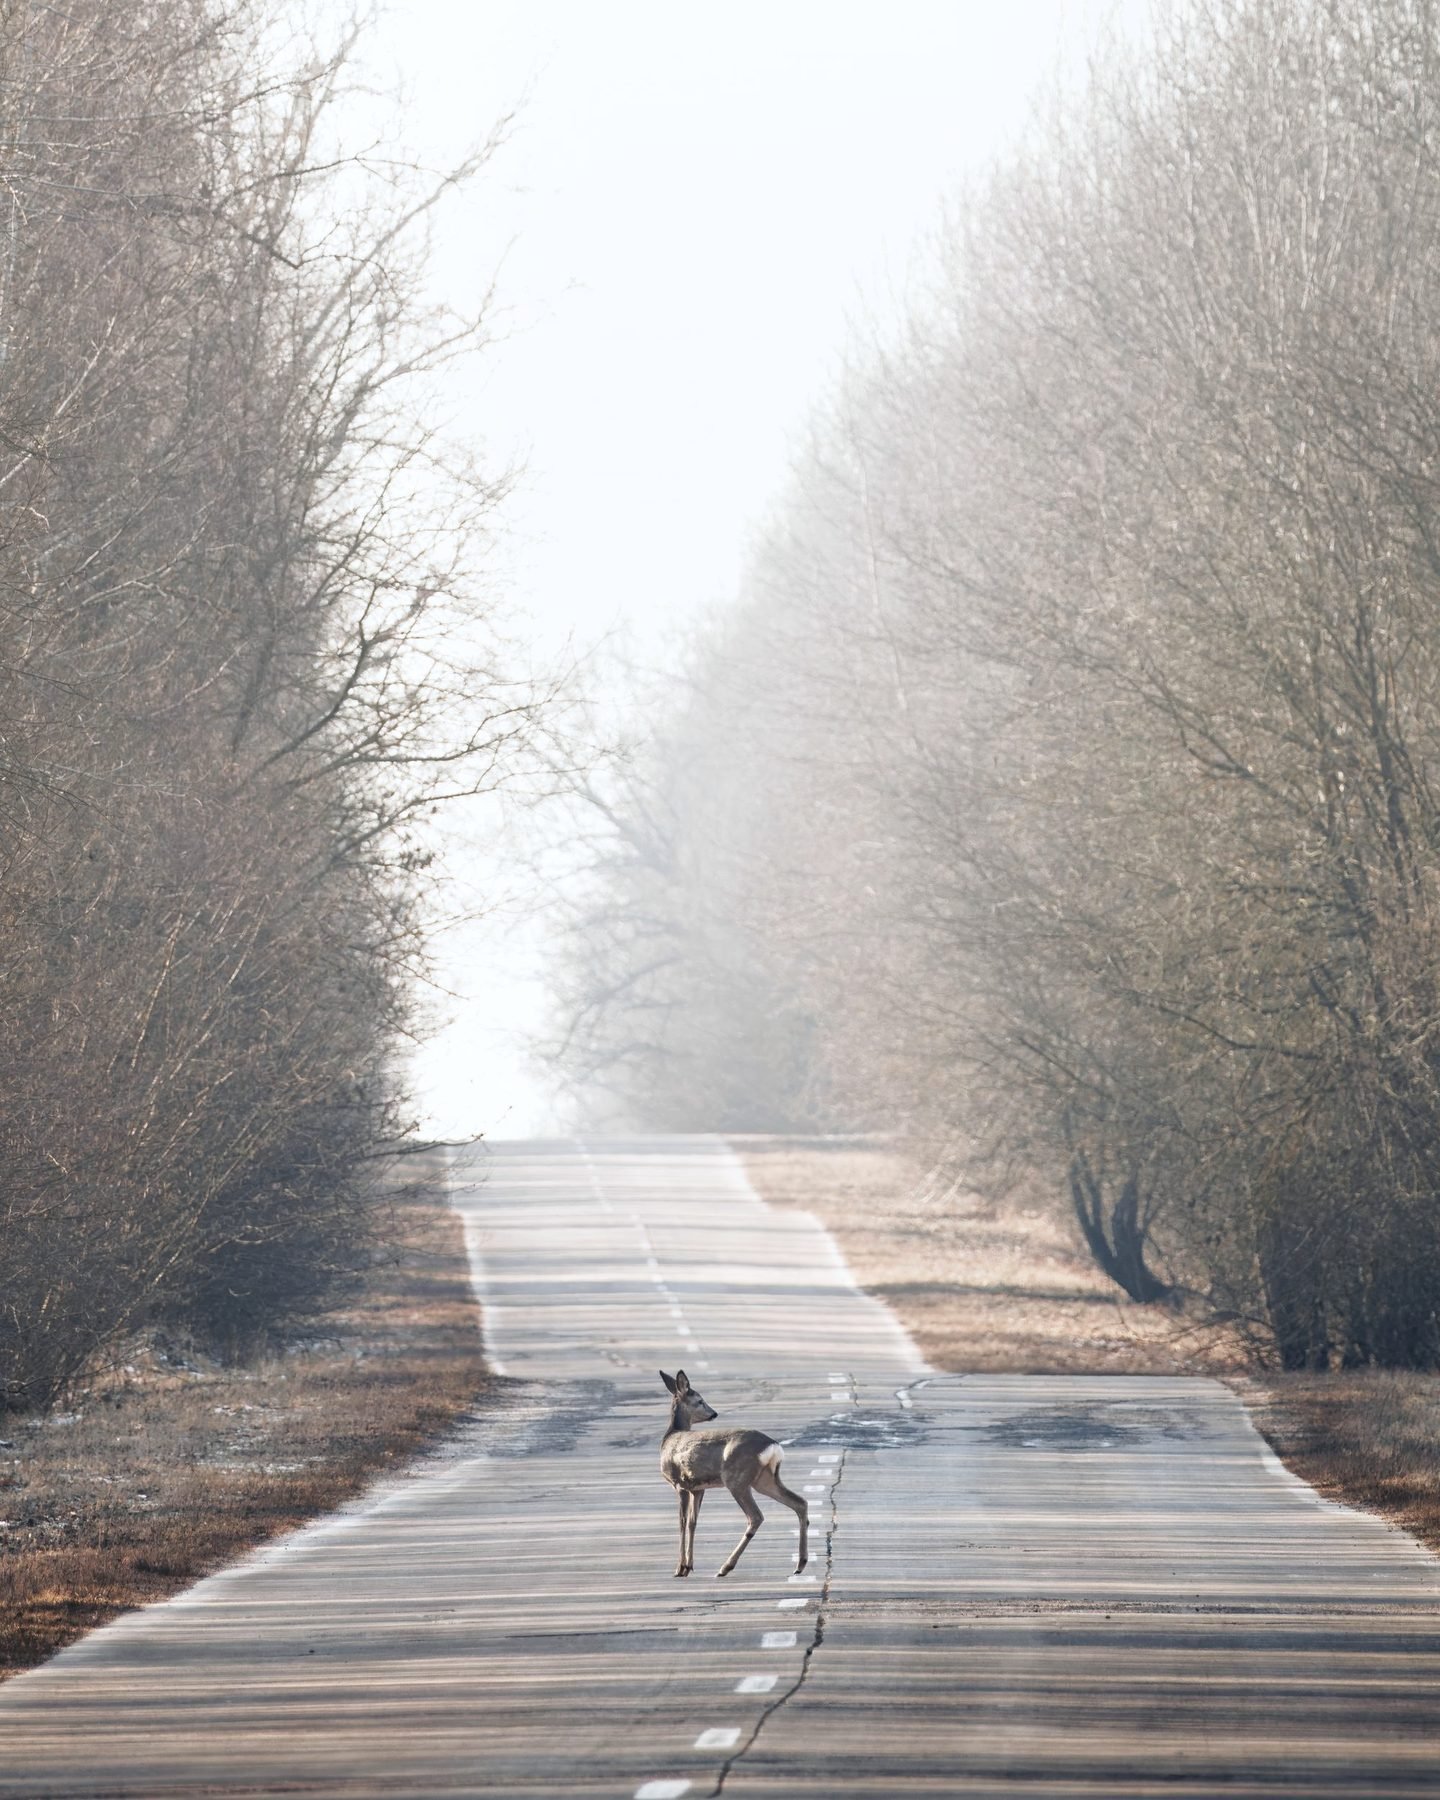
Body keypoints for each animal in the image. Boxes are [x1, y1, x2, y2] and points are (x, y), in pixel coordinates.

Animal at [658, 1369, 809, 1578]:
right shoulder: (698, 1488)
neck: (671, 1437)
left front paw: (680, 1568)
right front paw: (688, 1566)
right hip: (765, 1479)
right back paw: (800, 1564)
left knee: (755, 1516)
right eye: (700, 1401)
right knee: (799, 1502)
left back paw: (725, 1567)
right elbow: (692, 1522)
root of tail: (773, 1446)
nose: (714, 1413)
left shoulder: (679, 1483)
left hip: (737, 1479)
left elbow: (682, 1522)